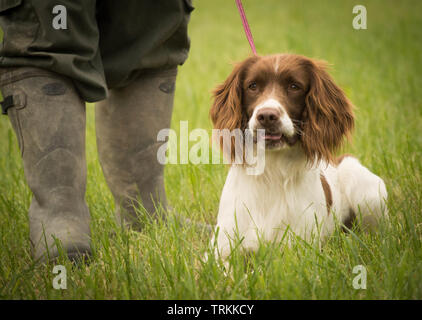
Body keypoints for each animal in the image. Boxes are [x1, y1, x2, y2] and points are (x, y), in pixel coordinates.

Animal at [209, 54, 388, 260]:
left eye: (294, 86)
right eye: (252, 86)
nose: (267, 116)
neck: (271, 173)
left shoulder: (297, 252)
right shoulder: (220, 249)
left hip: (369, 193)